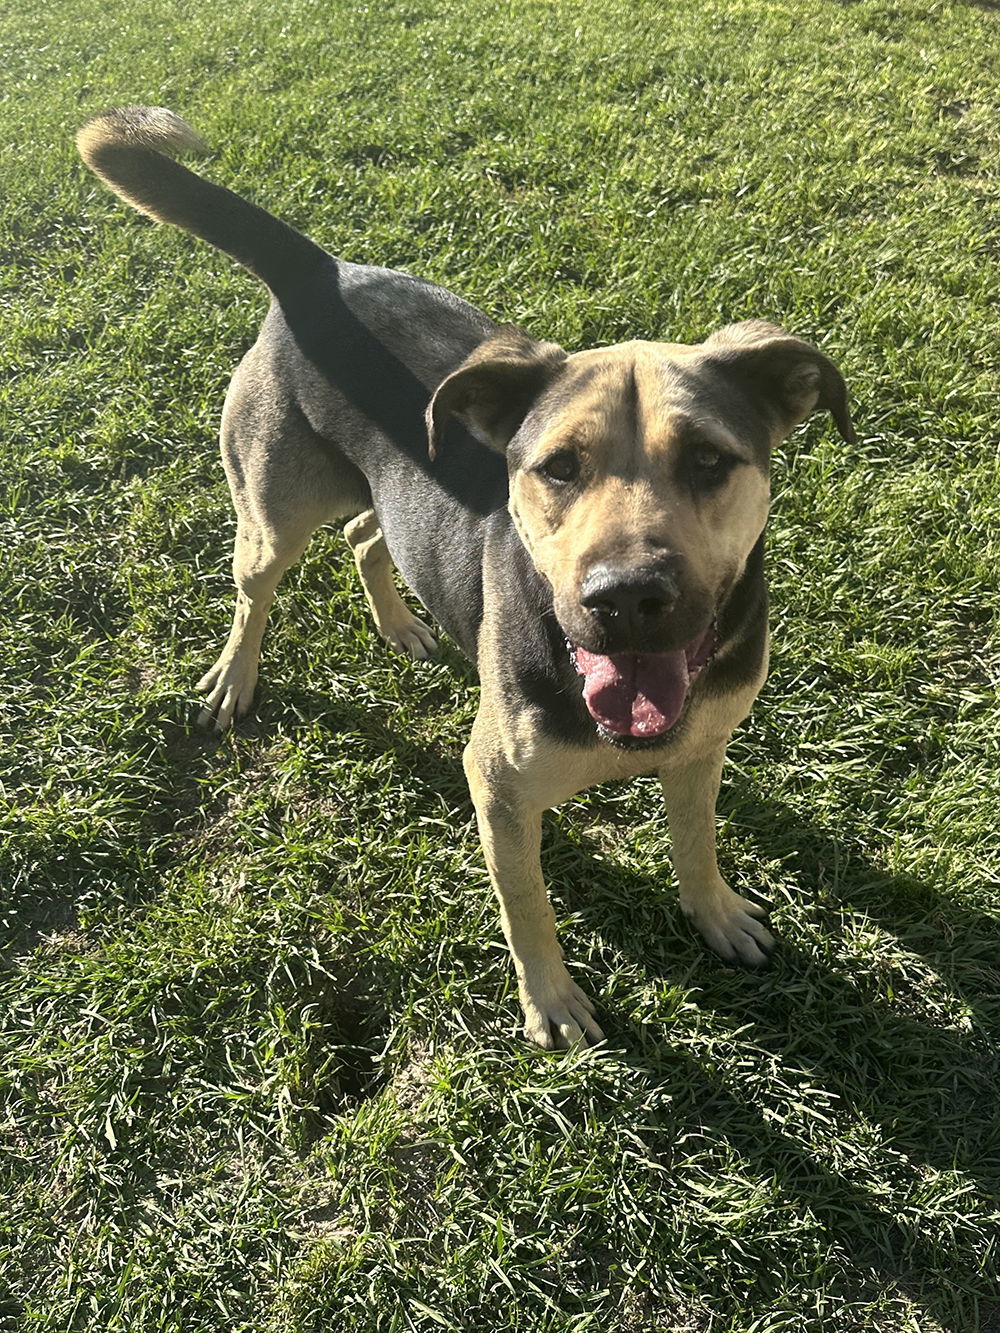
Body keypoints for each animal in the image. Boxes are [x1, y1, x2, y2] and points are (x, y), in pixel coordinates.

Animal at [78, 106, 858, 1050]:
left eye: (709, 459)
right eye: (558, 467)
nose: (627, 599)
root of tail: (321, 270)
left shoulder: (704, 744)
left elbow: (696, 840)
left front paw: (715, 910)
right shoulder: (500, 787)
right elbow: (528, 904)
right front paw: (551, 999)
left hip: (383, 491)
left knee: (365, 530)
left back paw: (400, 622)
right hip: (270, 511)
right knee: (255, 590)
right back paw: (235, 675)